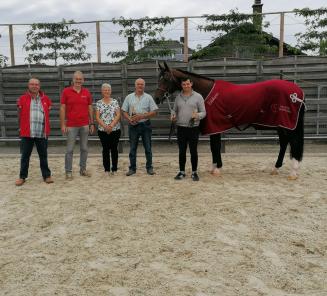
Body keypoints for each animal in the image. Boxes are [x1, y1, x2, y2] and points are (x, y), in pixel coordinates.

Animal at [155, 61, 306, 179]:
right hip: (282, 126)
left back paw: (293, 172)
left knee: (293, 142)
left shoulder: (215, 126)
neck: (207, 91)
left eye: (166, 78)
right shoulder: (214, 127)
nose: (156, 98)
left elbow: (215, 146)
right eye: (158, 78)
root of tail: (297, 92)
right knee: (284, 143)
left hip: (287, 125)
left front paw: (217, 169)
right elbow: (213, 147)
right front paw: (214, 167)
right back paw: (276, 168)